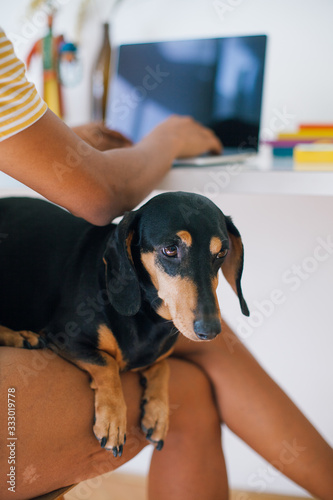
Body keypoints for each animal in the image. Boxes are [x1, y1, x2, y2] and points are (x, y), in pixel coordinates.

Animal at [0, 191, 249, 458]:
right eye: (170, 249)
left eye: (221, 253)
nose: (211, 330)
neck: (149, 317)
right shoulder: (63, 336)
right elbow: (107, 362)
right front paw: (113, 421)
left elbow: (163, 367)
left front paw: (157, 415)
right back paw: (19, 336)